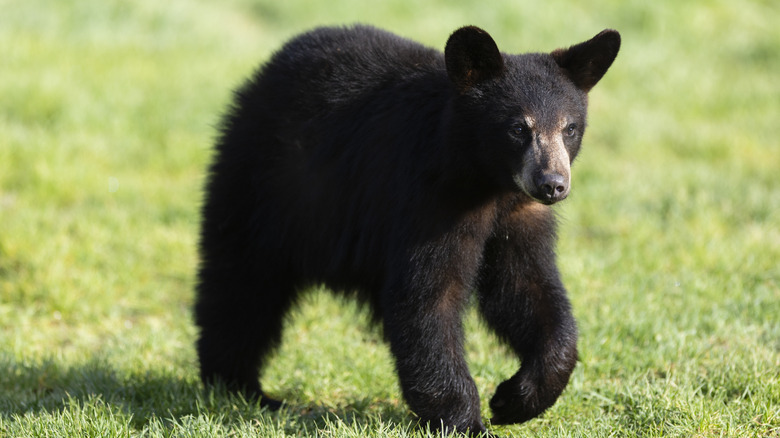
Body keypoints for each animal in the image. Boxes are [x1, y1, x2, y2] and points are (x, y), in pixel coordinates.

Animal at [195, 24, 620, 435]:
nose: (553, 184)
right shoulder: (429, 199)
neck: (487, 182)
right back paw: (240, 387)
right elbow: (427, 298)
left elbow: (527, 289)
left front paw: (515, 398)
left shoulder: (520, 215)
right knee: (242, 284)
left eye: (569, 128)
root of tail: (265, 71)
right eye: (518, 128)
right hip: (266, 186)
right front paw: (466, 422)